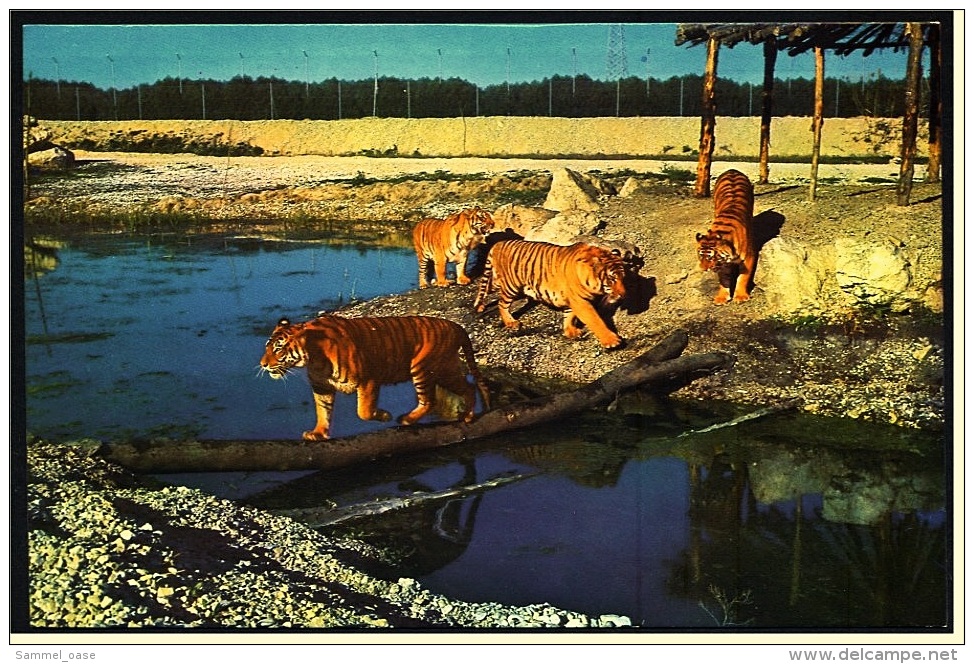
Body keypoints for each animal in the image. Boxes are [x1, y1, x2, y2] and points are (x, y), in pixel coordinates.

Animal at [260, 312, 492, 438]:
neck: (314, 357)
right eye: (267, 348)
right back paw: (468, 416)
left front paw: (385, 415)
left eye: (278, 349)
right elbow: (323, 410)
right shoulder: (322, 386)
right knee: (468, 386)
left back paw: (407, 419)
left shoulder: (368, 379)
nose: (263, 364)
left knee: (430, 400)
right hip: (446, 370)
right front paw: (318, 434)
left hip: (422, 369)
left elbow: (363, 411)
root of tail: (455, 325)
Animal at [474, 240, 628, 352]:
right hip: (512, 287)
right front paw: (611, 341)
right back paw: (510, 322)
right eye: (612, 279)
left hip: (505, 284)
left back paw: (480, 305)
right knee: (501, 303)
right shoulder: (580, 301)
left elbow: (569, 316)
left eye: (623, 277)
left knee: (487, 286)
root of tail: (498, 243)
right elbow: (595, 320)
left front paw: (570, 331)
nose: (623, 295)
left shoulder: (572, 300)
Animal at [692, 167, 764, 304]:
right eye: (700, 256)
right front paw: (721, 297)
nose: (703, 269)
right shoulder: (723, 263)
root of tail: (732, 169)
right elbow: (724, 279)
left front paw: (740, 296)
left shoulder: (749, 257)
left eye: (711, 258)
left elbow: (743, 277)